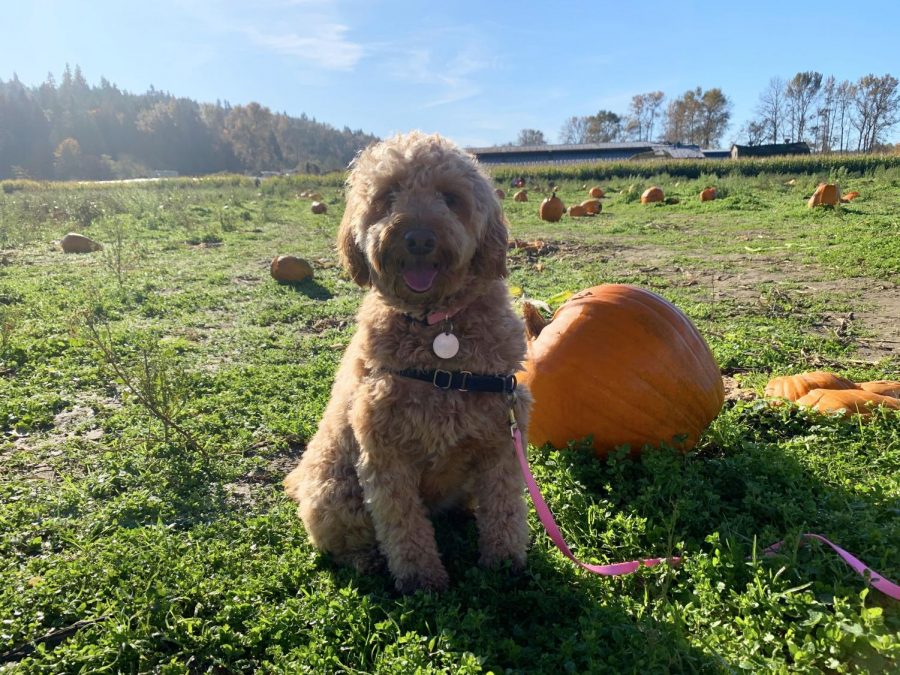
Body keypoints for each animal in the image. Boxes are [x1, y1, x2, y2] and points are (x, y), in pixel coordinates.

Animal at [284, 131, 532, 592]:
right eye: (388, 196)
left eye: (450, 198)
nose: (418, 238)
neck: (438, 331)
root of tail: (300, 479)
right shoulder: (384, 450)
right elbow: (403, 525)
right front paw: (422, 582)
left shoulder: (501, 437)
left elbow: (505, 509)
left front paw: (505, 566)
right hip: (335, 491)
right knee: (345, 538)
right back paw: (367, 561)